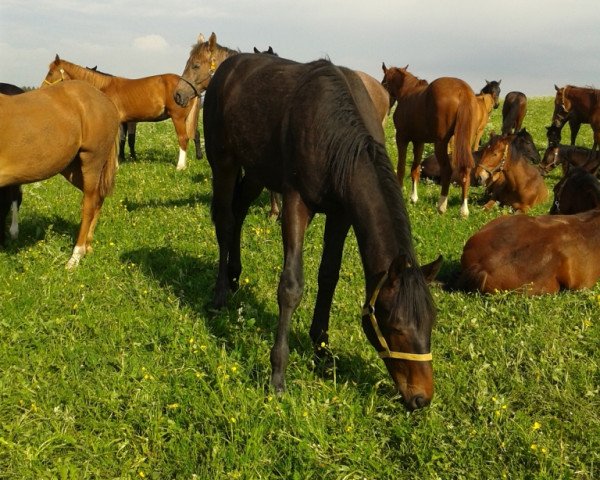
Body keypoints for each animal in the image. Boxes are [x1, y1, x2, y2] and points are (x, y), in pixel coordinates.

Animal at [0, 79, 120, 266]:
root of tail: (104, 99)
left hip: (91, 162)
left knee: (89, 204)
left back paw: (75, 257)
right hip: (72, 169)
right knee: (98, 198)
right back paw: (88, 246)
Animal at [42, 55, 202, 171]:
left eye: (50, 72)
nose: (41, 88)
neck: (103, 87)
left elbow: (117, 142)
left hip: (178, 118)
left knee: (183, 138)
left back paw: (180, 166)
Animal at [176, 53, 442, 412]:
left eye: (430, 322)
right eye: (395, 325)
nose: (421, 397)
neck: (336, 134)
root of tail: (228, 66)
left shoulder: (341, 213)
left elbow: (328, 275)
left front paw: (322, 349)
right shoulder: (296, 203)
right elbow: (291, 286)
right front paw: (277, 373)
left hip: (256, 172)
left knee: (240, 211)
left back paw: (234, 276)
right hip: (225, 163)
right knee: (226, 221)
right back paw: (220, 292)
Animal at [380, 62, 478, 217]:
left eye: (384, 82)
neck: (408, 92)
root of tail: (462, 91)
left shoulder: (402, 138)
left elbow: (401, 168)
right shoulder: (419, 141)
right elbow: (415, 168)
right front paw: (413, 198)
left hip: (441, 144)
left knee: (447, 170)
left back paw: (441, 205)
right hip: (465, 143)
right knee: (466, 170)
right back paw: (463, 210)